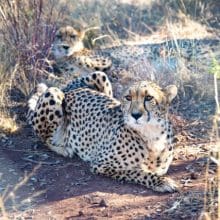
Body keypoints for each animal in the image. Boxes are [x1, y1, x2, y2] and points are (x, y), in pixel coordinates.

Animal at [27, 71, 179, 192]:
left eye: (148, 98)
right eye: (128, 98)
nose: (135, 115)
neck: (151, 134)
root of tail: (69, 89)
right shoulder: (101, 164)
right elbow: (139, 172)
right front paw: (162, 182)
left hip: (100, 75)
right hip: (53, 93)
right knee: (44, 138)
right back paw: (64, 149)